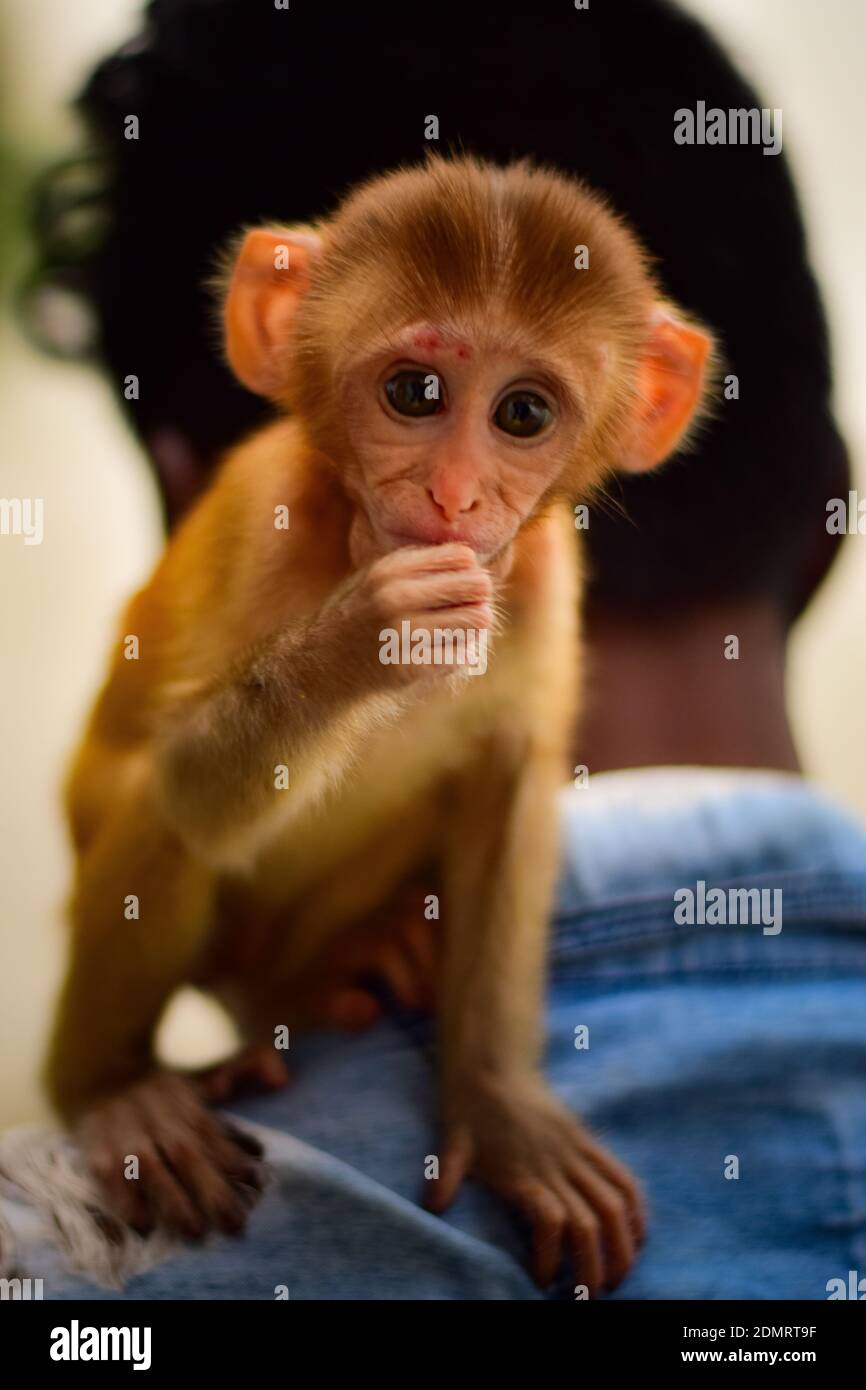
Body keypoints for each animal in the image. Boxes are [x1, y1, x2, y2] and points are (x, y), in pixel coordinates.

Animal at [44, 155, 712, 1293]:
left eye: (522, 414)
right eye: (414, 394)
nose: (452, 494)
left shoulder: (541, 581)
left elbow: (509, 786)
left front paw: (502, 1108)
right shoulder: (267, 522)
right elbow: (183, 789)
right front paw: (362, 640)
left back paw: (353, 963)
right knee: (158, 820)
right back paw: (115, 1089)